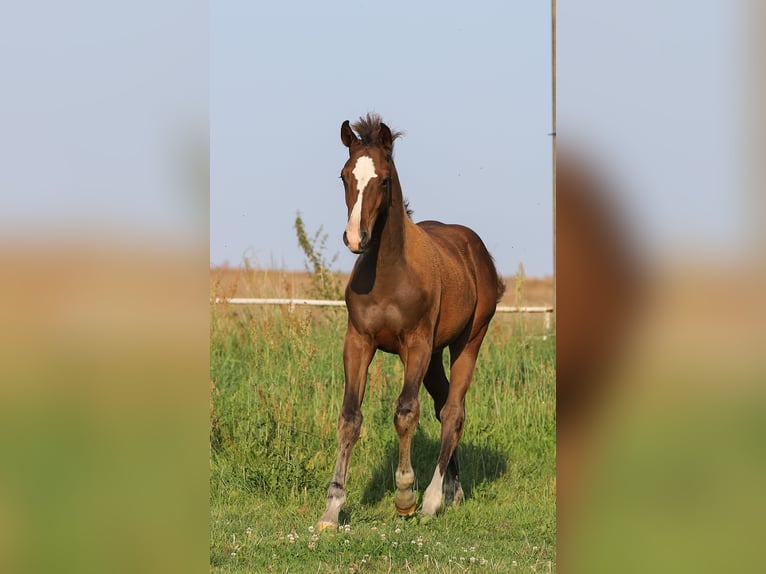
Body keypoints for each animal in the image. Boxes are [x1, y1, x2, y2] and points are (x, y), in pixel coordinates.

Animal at [316, 115, 508, 532]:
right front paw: (331, 509)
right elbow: (349, 417)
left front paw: (404, 495)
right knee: (443, 405)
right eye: (344, 175)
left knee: (453, 411)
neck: (388, 275)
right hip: (435, 355)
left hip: (467, 341)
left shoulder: (415, 343)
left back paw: (433, 500)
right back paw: (455, 491)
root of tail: (476, 250)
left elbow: (405, 411)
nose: (355, 238)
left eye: (385, 180)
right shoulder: (358, 341)